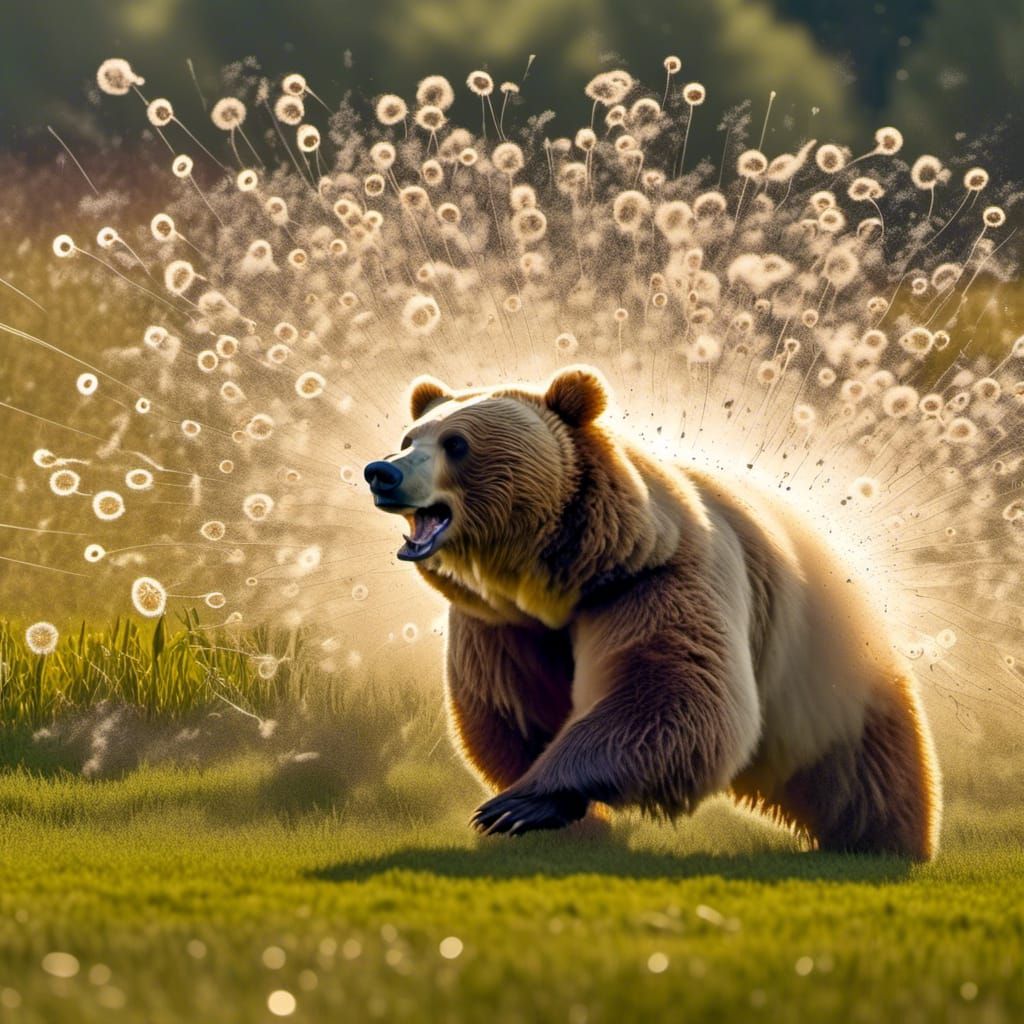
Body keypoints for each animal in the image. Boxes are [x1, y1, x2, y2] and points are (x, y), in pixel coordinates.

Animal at [364, 366, 942, 859]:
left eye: (456, 443)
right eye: (409, 439)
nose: (381, 473)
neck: (560, 577)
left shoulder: (653, 581)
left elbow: (667, 691)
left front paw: (519, 804)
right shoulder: (503, 626)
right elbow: (513, 711)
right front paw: (557, 821)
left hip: (821, 662)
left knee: (863, 764)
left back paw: (887, 843)